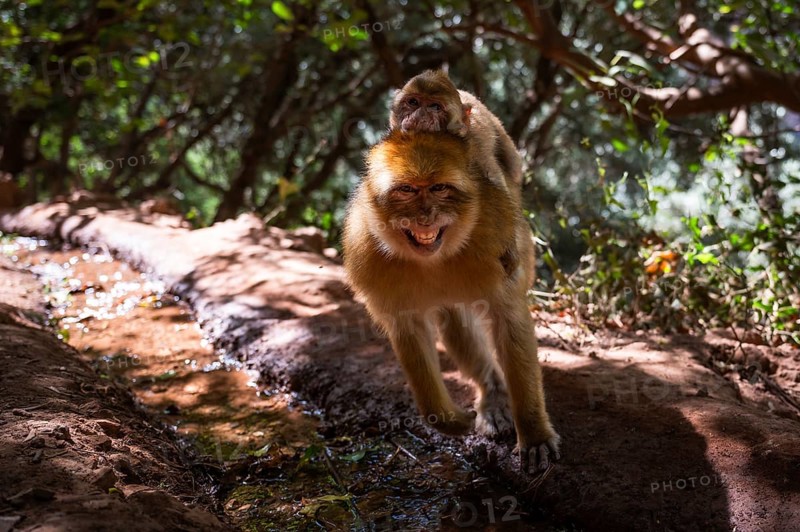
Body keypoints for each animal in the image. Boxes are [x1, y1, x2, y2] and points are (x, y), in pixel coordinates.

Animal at [342, 130, 560, 472]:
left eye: (439, 188)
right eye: (406, 190)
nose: (425, 216)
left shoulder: (495, 233)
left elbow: (508, 318)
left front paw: (534, 433)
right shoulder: (366, 252)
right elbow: (407, 328)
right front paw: (444, 418)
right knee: (453, 319)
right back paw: (494, 392)